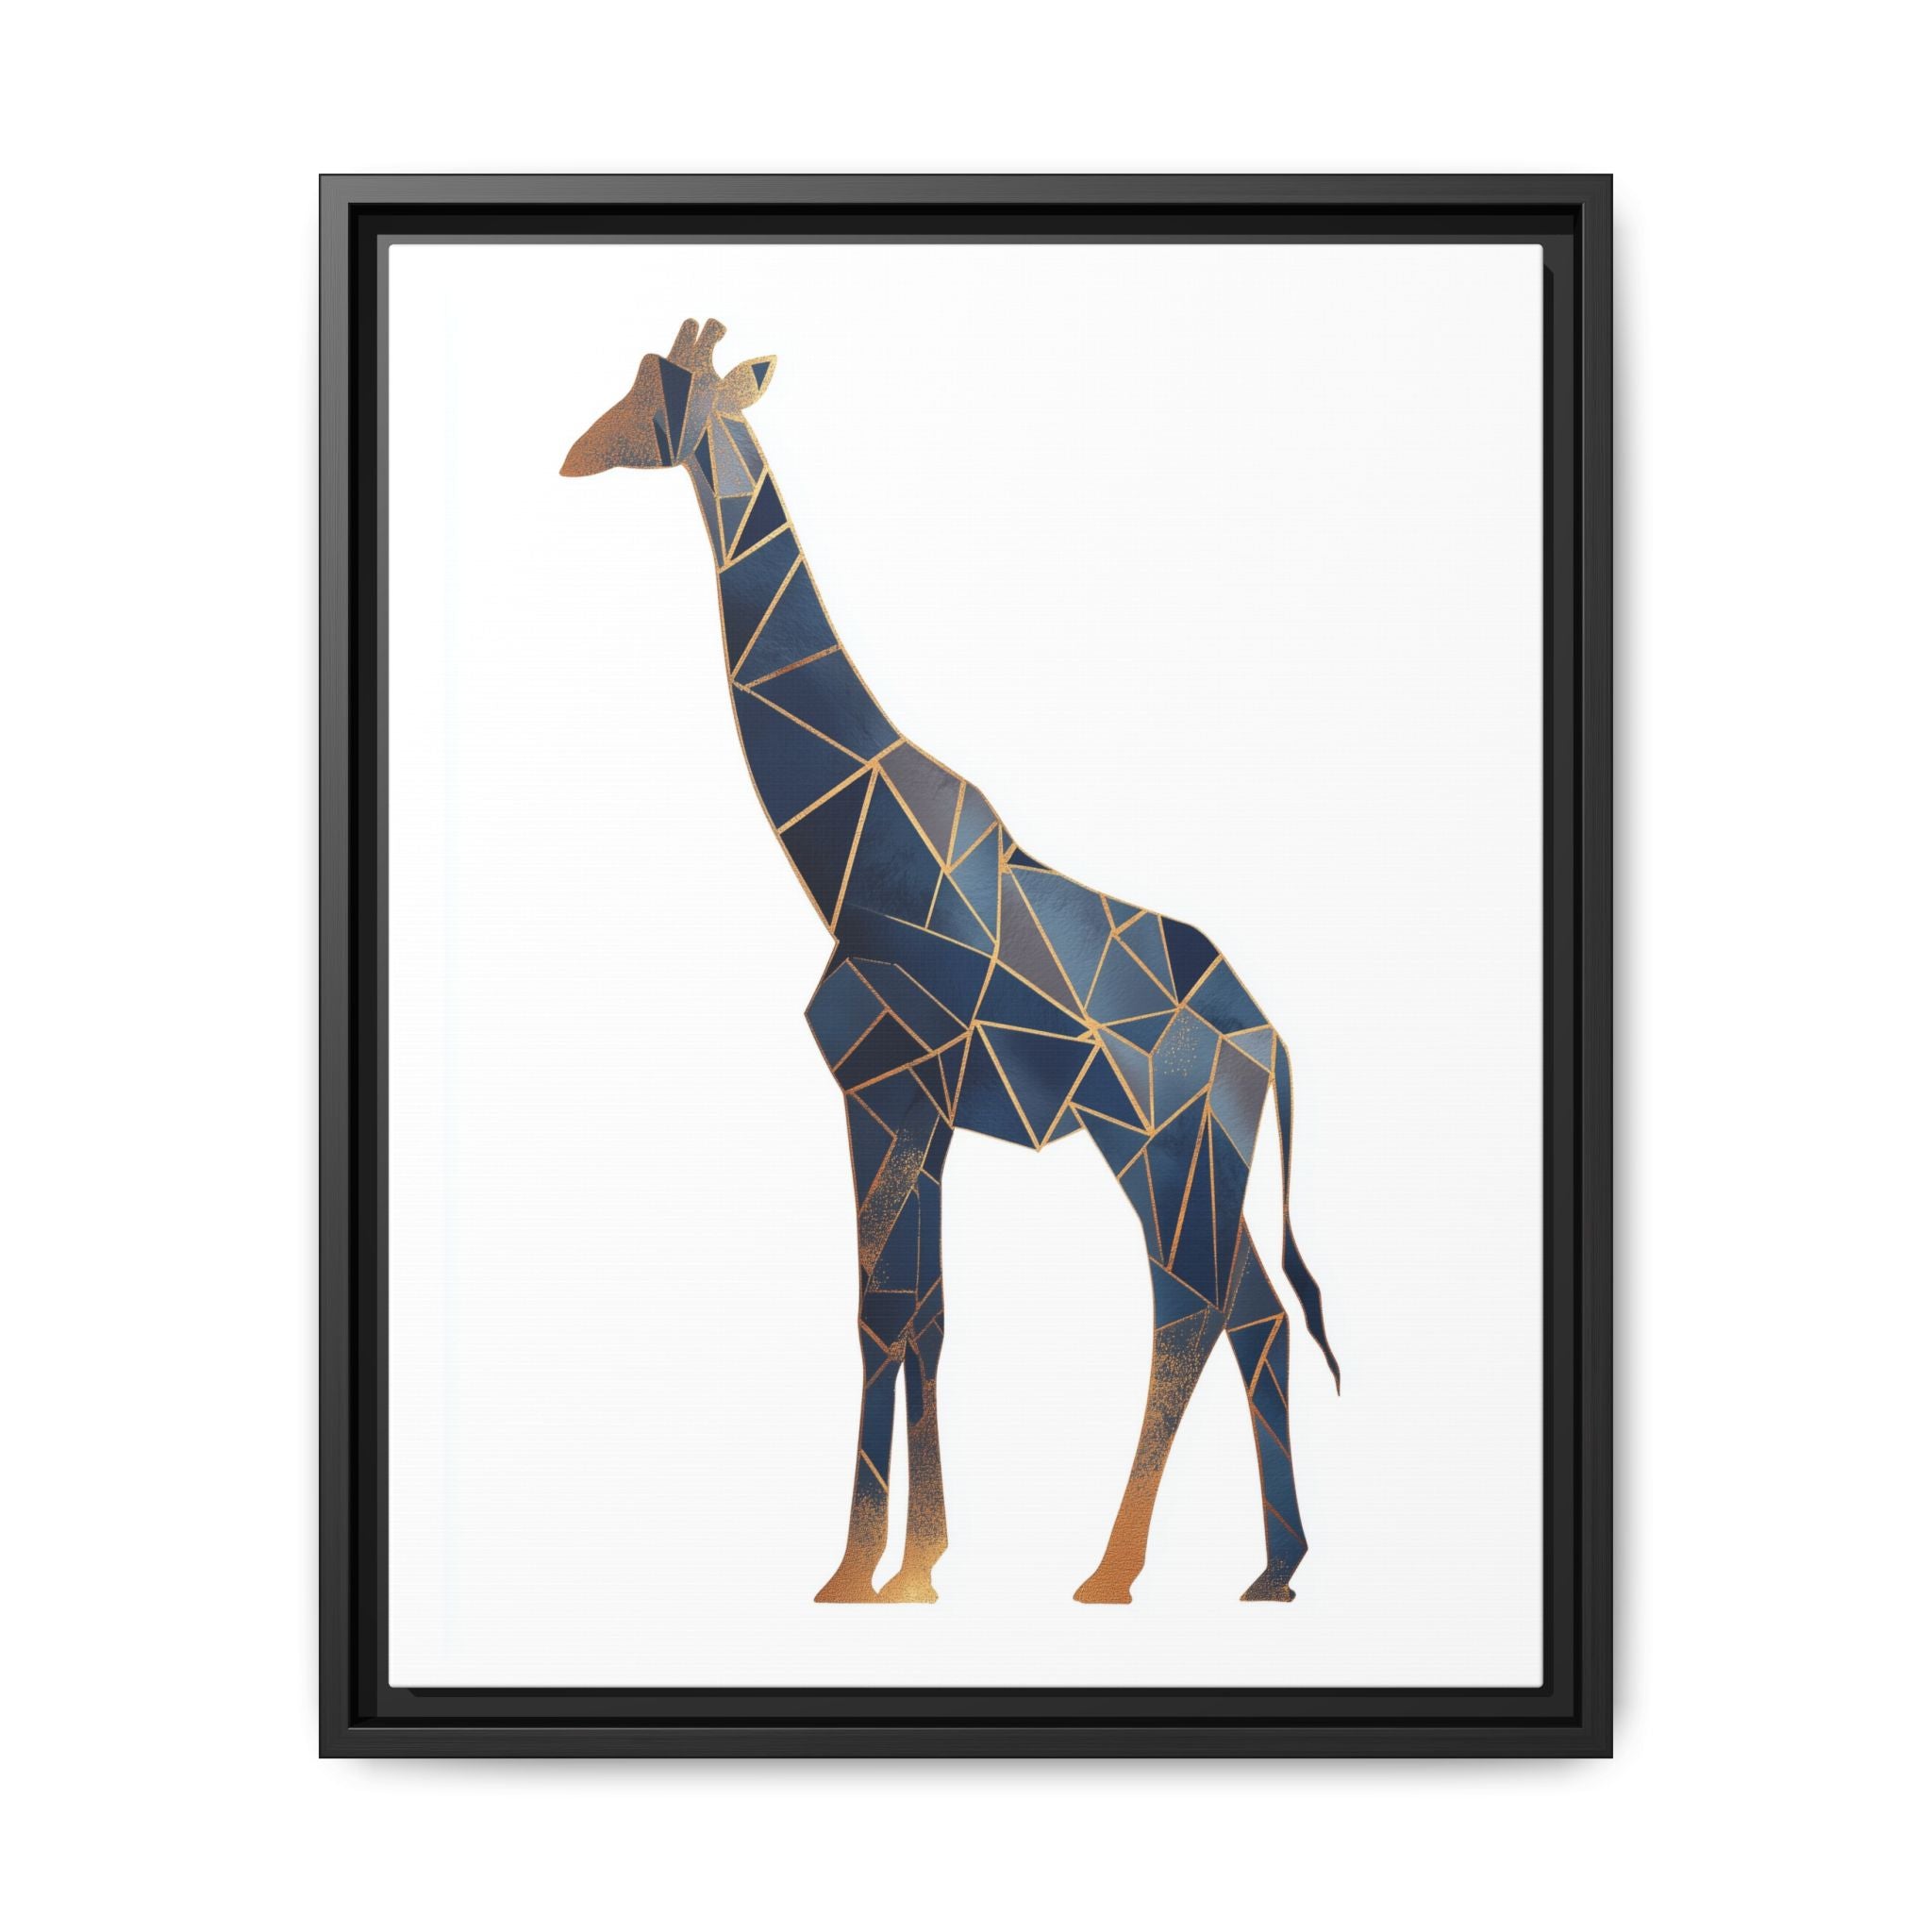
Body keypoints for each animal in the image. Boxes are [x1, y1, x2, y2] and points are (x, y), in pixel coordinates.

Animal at [562, 318, 1339, 1605]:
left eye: (661, 396)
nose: (576, 453)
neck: (848, 855)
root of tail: (1266, 1036)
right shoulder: (911, 1109)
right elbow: (914, 1313)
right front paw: (898, 1564)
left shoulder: (885, 1089)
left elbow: (886, 1313)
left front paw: (873, 1569)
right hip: (1197, 1155)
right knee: (1252, 1314)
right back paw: (1270, 1568)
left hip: (1158, 1145)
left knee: (1192, 1308)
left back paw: (1116, 1570)